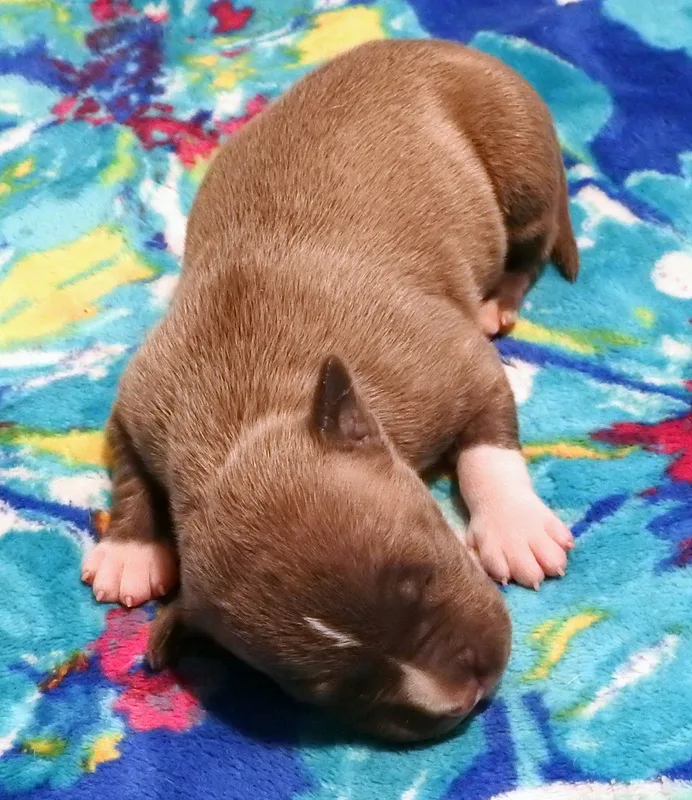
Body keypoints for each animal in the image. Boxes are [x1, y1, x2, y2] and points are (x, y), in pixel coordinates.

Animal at [82, 38, 578, 741]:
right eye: (333, 688)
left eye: (421, 576)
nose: (467, 695)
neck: (250, 414)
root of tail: (433, 45)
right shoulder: (139, 400)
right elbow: (129, 471)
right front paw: (130, 549)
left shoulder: (455, 367)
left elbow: (489, 446)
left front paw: (514, 526)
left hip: (519, 159)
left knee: (532, 244)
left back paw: (499, 301)